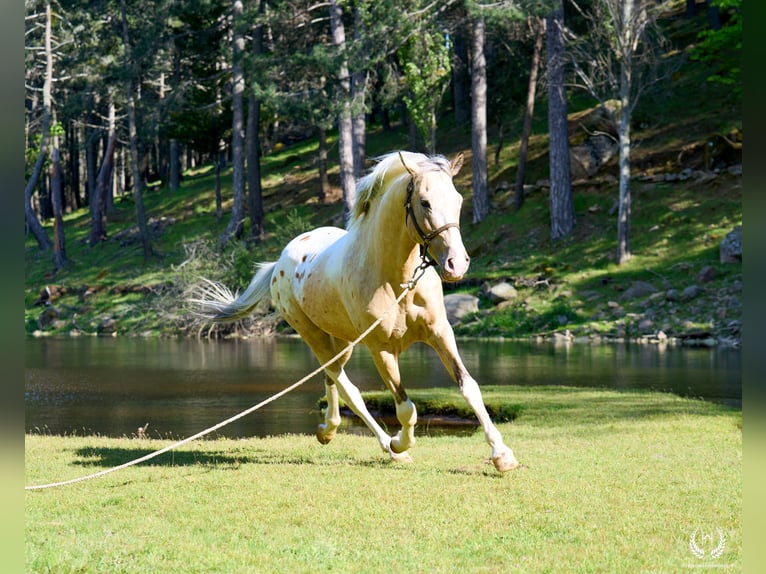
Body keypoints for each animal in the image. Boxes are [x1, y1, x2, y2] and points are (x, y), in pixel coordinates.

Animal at [192, 151, 519, 473]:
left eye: (458, 200)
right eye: (425, 202)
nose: (456, 264)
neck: (397, 279)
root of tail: (279, 263)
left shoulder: (440, 333)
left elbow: (469, 387)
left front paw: (502, 455)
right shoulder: (382, 349)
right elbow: (406, 408)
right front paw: (399, 443)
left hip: (343, 341)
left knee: (331, 378)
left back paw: (328, 429)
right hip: (313, 336)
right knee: (348, 388)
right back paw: (382, 445)